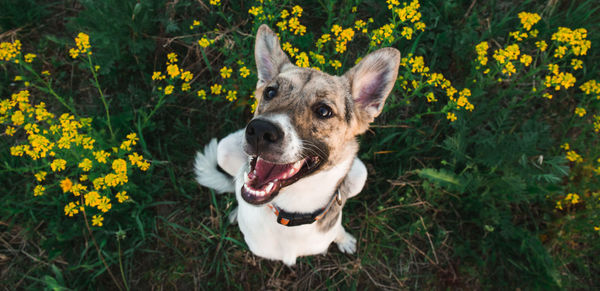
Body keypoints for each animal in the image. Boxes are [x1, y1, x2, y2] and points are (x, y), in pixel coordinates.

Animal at [196, 25, 398, 266]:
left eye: (324, 111)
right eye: (270, 92)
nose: (260, 130)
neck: (292, 211)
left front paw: (343, 238)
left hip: (360, 173)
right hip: (224, 149)